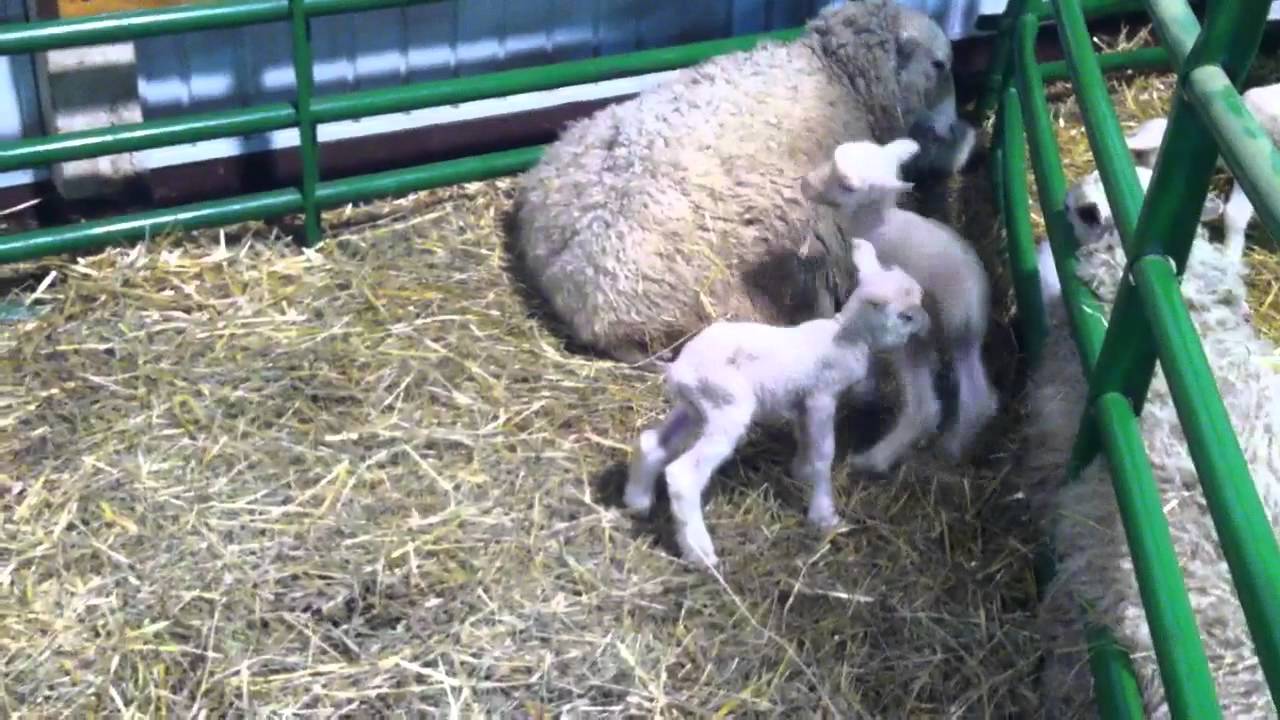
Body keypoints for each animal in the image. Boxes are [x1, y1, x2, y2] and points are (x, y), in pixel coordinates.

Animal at [623, 238, 931, 568]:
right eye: (906, 317)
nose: (926, 326)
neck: (847, 335)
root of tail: (679, 371)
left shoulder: (802, 400)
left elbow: (805, 438)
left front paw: (801, 471)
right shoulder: (822, 396)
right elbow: (824, 453)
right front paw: (824, 514)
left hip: (695, 407)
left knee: (652, 442)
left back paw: (637, 502)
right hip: (727, 407)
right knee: (683, 475)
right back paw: (700, 553)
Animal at [799, 137, 998, 470]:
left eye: (847, 185)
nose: (805, 183)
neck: (876, 222)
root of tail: (966, 301)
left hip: (913, 335)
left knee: (925, 407)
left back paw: (874, 459)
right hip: (965, 336)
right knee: (977, 397)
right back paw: (953, 447)